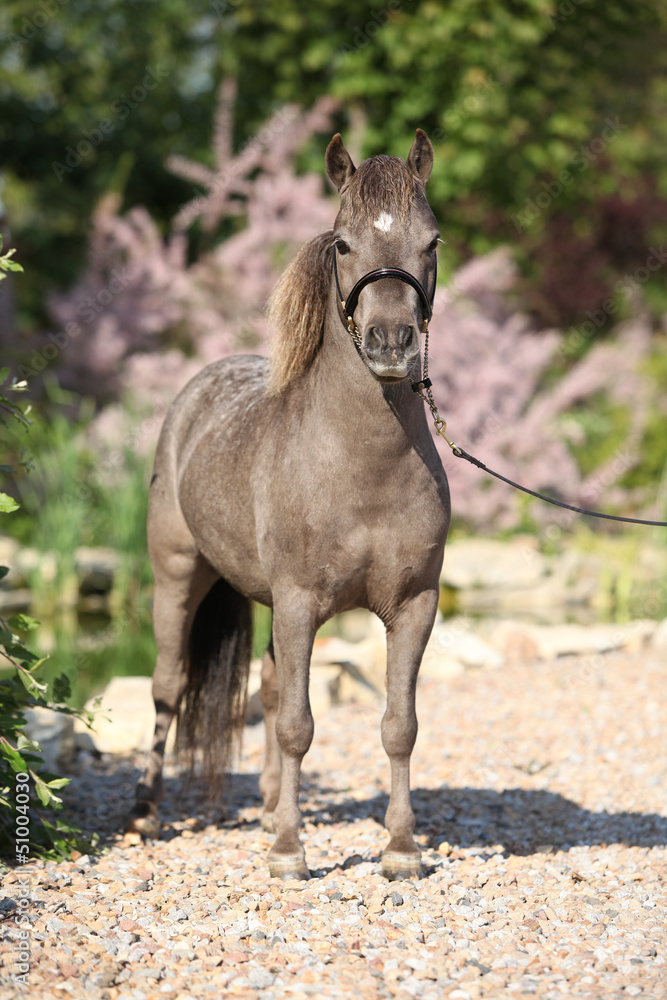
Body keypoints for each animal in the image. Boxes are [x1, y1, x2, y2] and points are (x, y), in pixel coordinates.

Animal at [127, 129, 450, 881]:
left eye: (431, 241)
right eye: (343, 244)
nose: (391, 343)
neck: (361, 467)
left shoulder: (412, 607)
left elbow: (398, 725)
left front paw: (399, 850)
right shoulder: (301, 602)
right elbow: (299, 725)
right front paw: (288, 854)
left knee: (270, 689)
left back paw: (273, 805)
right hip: (176, 576)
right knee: (168, 684)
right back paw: (146, 813)